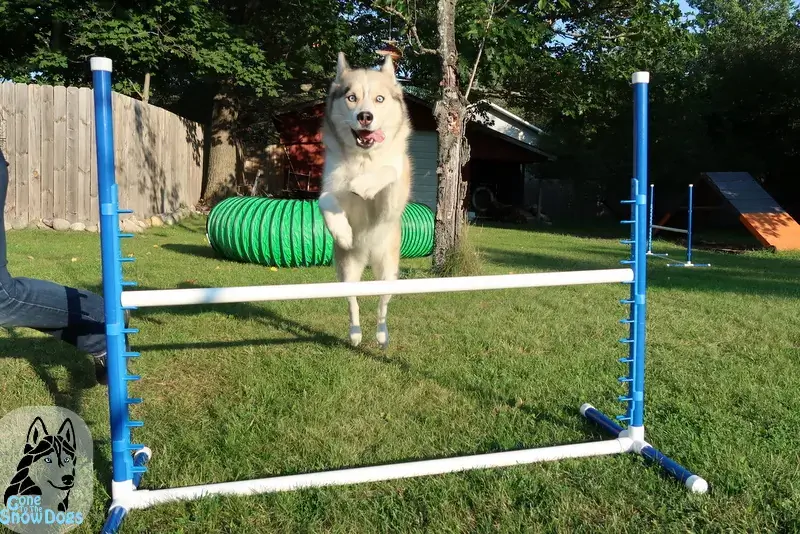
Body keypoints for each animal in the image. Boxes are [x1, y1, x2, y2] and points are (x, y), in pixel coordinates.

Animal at [320, 52, 416, 350]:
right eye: (351, 97)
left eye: (379, 99)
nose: (365, 116)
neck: (364, 160)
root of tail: (367, 255)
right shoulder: (330, 186)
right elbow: (325, 200)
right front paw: (343, 232)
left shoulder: (389, 204)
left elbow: (389, 171)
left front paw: (364, 184)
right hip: (347, 270)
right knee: (353, 302)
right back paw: (355, 334)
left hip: (389, 270)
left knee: (383, 306)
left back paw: (382, 335)